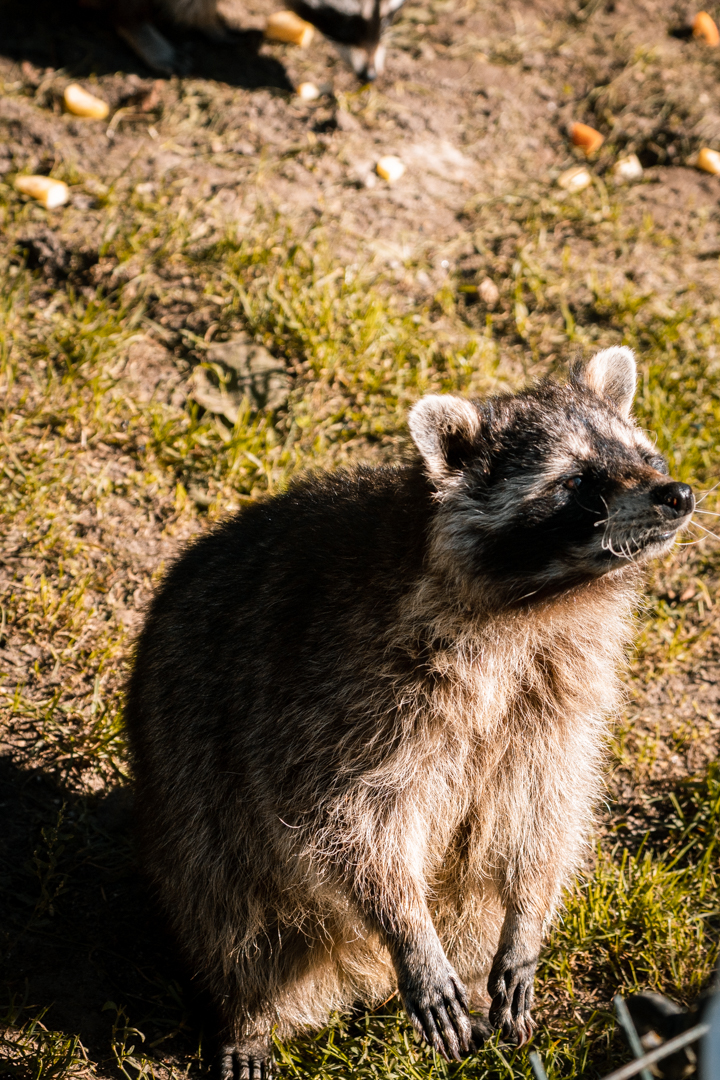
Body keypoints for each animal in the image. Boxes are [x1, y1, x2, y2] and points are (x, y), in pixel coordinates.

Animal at [125, 346, 694, 1078]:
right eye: (575, 481)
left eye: (646, 455)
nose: (677, 493)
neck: (547, 598)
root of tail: (356, 979)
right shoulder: (340, 691)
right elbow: (346, 817)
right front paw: (405, 926)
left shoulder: (560, 688)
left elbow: (548, 805)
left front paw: (529, 912)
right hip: (194, 809)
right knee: (232, 911)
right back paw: (248, 1015)